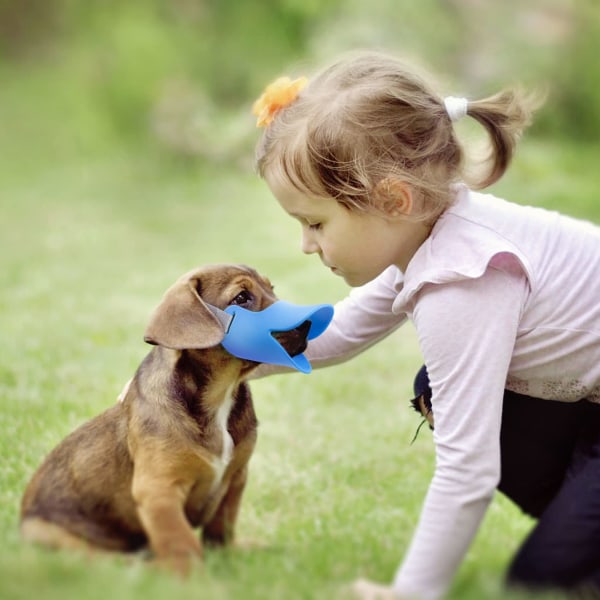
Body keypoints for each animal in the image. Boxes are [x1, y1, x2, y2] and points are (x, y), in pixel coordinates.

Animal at [19, 264, 310, 576]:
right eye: (242, 298)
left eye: (271, 288)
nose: (308, 324)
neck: (220, 395)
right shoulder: (159, 490)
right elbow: (182, 543)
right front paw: (199, 580)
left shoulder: (235, 478)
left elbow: (221, 531)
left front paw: (228, 560)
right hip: (54, 536)